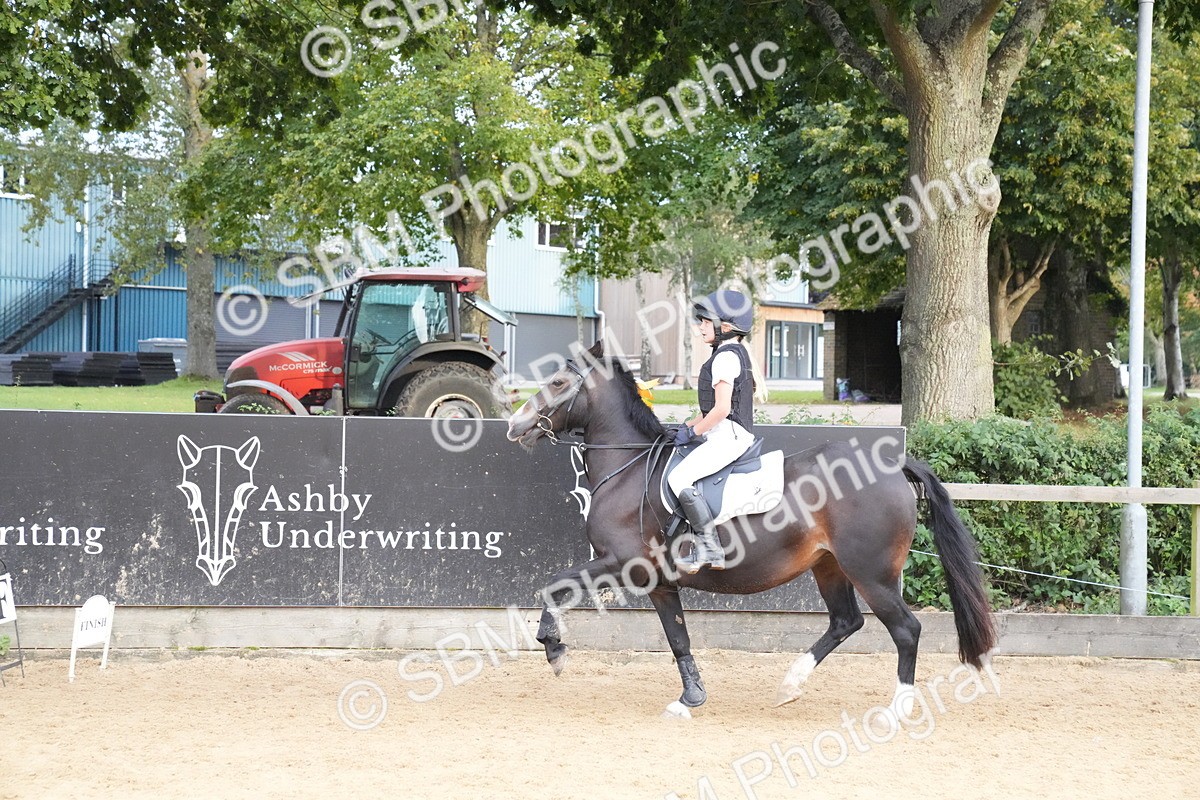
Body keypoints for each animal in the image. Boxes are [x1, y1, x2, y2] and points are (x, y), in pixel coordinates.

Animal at [506, 342, 996, 718]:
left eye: (558, 383)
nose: (515, 424)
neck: (627, 469)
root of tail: (893, 466)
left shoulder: (622, 563)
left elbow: (553, 584)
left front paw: (553, 649)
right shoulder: (660, 581)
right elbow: (678, 638)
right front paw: (691, 698)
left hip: (871, 573)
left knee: (906, 630)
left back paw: (897, 708)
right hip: (830, 567)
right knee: (846, 621)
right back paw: (790, 685)